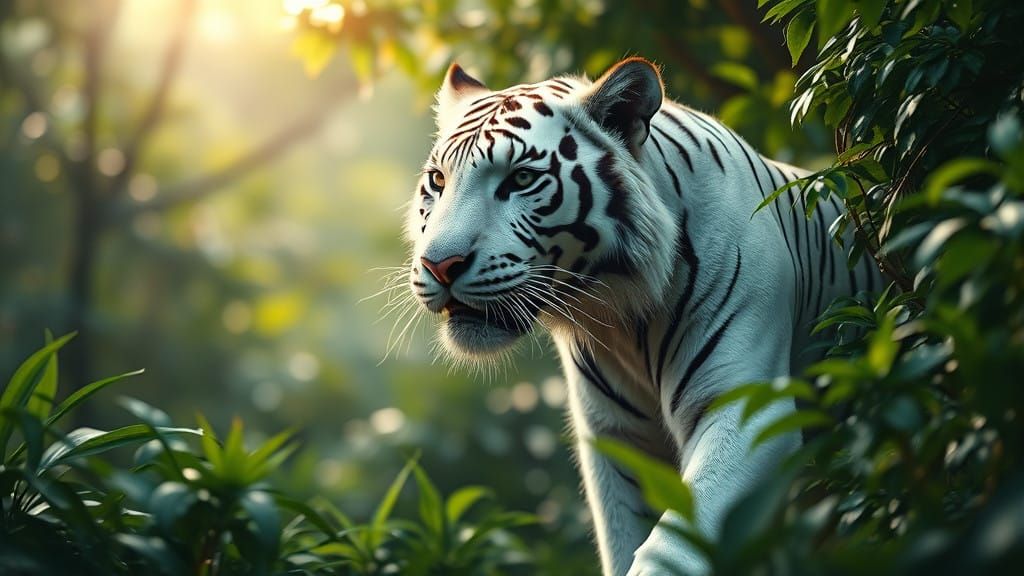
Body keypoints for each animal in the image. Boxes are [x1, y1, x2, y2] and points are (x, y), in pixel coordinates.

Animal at [403, 57, 881, 575]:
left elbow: (671, 547)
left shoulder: (744, 412)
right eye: (438, 181)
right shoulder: (616, 439)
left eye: (522, 180)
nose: (439, 265)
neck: (620, 311)